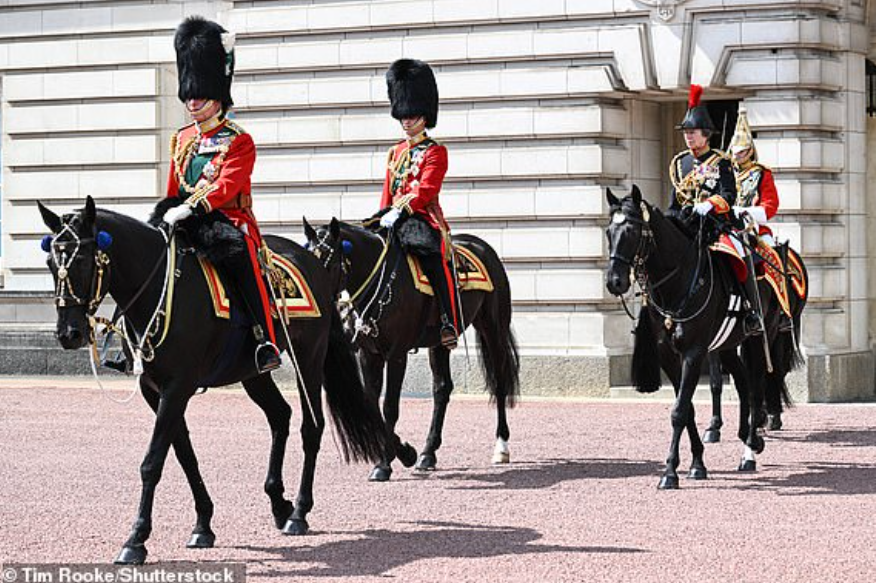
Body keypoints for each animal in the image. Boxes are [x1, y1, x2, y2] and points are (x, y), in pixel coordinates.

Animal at [37, 198, 384, 564]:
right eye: (50, 262)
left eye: (83, 260)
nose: (68, 334)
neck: (161, 289)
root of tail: (311, 260)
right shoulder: (155, 390)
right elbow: (184, 454)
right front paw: (203, 524)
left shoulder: (178, 387)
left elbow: (153, 461)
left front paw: (136, 539)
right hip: (252, 372)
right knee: (280, 416)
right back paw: (279, 502)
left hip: (309, 360)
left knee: (311, 426)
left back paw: (299, 513)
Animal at [302, 217, 520, 482]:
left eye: (329, 262)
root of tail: (482, 245)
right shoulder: (369, 354)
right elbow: (372, 403)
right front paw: (404, 453)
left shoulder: (396, 354)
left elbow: (389, 407)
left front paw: (384, 464)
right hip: (439, 343)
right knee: (442, 389)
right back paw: (428, 453)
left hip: (493, 328)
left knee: (499, 382)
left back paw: (501, 446)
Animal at [604, 186, 804, 488]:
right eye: (608, 232)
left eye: (632, 230)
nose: (614, 282)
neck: (678, 283)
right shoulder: (668, 355)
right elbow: (686, 409)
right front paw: (697, 463)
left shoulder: (694, 352)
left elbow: (678, 411)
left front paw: (670, 472)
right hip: (727, 344)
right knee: (744, 382)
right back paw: (748, 437)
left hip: (760, 338)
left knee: (757, 387)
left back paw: (749, 451)